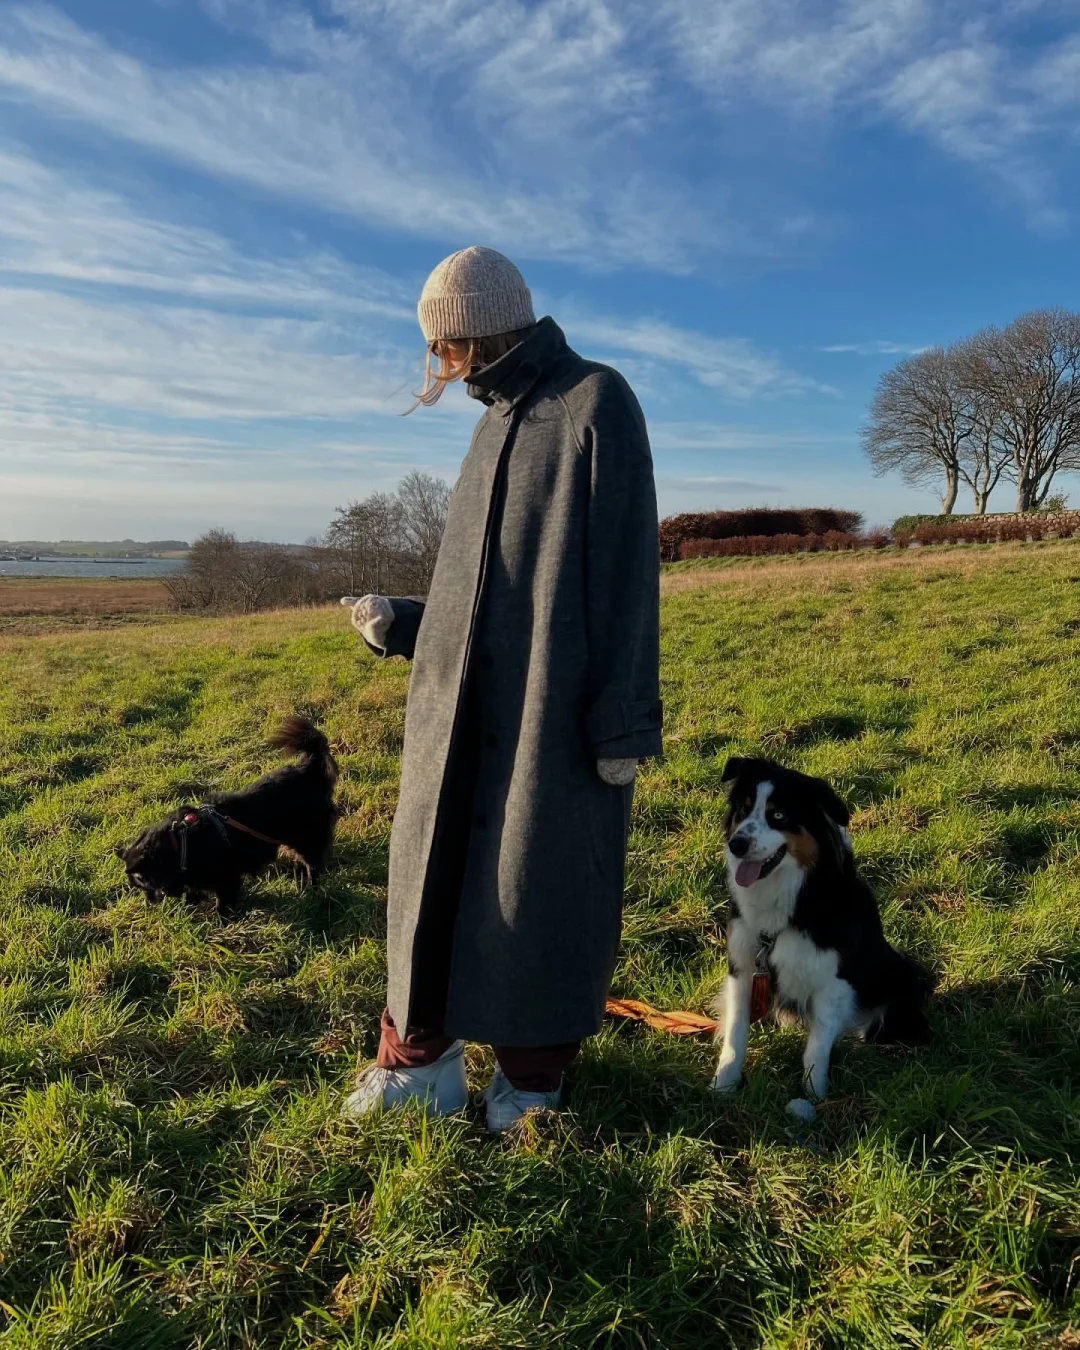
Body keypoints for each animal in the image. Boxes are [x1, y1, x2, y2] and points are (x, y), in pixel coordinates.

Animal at [117, 718, 337, 918]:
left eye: (145, 885)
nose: (149, 903)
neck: (181, 844)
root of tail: (309, 769)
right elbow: (194, 892)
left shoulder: (227, 878)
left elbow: (223, 902)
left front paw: (222, 922)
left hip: (308, 837)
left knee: (313, 864)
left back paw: (310, 888)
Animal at [712, 761, 934, 1117]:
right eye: (744, 809)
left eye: (779, 815)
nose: (737, 844)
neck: (793, 897)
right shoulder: (743, 967)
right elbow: (735, 1033)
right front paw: (723, 1087)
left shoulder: (832, 980)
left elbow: (817, 1047)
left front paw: (814, 1096)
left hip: (900, 975)